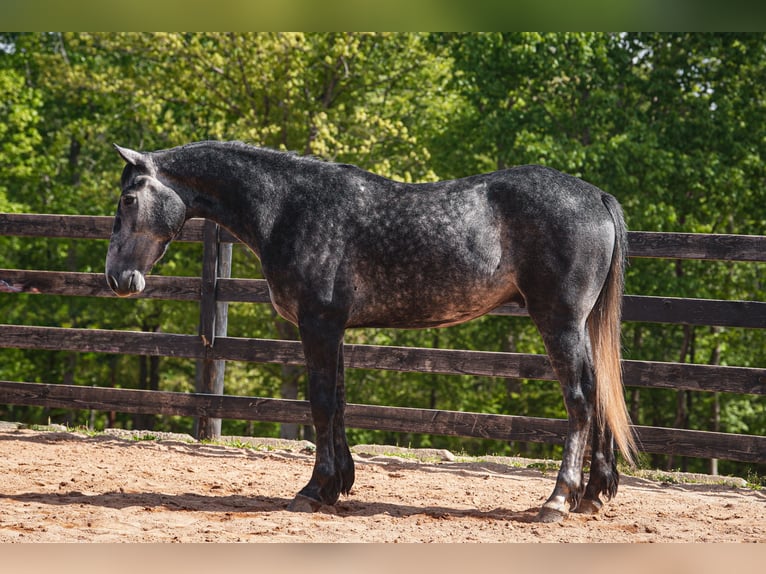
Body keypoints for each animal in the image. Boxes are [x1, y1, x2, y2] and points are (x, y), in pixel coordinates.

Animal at [105, 140, 637, 523]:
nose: (116, 279)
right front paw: (338, 485)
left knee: (580, 401)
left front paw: (313, 489)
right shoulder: (334, 328)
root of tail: (596, 196)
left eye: (129, 198)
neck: (289, 207)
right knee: (599, 393)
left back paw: (558, 500)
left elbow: (320, 403)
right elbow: (338, 403)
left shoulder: (318, 324)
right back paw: (593, 495)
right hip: (579, 326)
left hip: (559, 321)